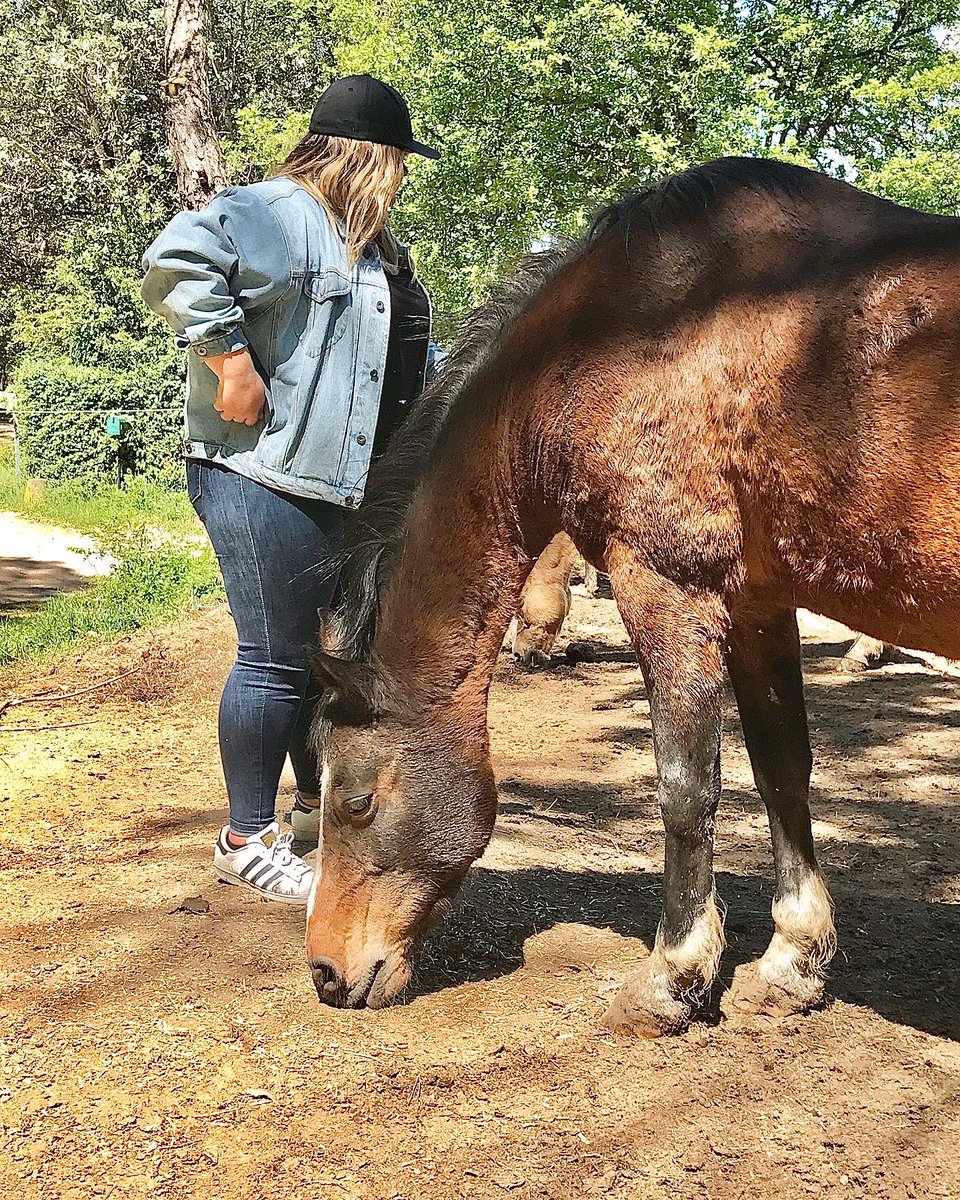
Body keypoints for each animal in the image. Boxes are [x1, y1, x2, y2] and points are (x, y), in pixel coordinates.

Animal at [305, 157, 960, 1032]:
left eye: (354, 802)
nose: (325, 974)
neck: (622, 337)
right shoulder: (755, 601)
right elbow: (782, 766)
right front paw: (793, 961)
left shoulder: (664, 585)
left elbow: (686, 787)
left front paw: (672, 976)